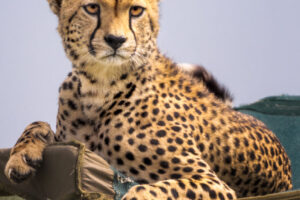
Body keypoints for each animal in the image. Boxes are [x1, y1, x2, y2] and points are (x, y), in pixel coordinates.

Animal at [4, 0, 292, 200]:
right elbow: (38, 124)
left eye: (135, 10)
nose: (116, 40)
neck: (100, 86)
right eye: (92, 7)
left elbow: (146, 190)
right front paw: (21, 156)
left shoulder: (212, 183)